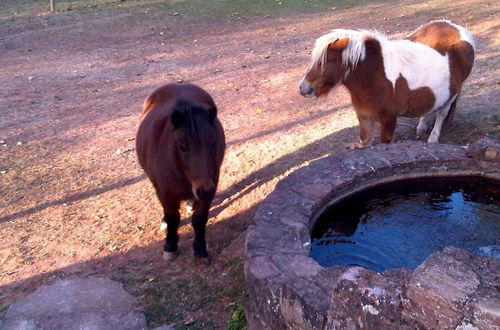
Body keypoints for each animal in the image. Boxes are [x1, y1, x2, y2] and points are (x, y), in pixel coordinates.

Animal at [135, 83, 225, 262]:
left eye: (212, 143)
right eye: (182, 146)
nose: (204, 190)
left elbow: (199, 220)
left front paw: (200, 249)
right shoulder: (166, 194)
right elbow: (173, 219)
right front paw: (170, 247)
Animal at [298, 18, 474, 146]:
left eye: (326, 61)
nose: (302, 87)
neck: (374, 77)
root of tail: (456, 28)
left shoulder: (388, 121)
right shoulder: (364, 119)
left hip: (452, 94)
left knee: (441, 113)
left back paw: (432, 138)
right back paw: (422, 127)